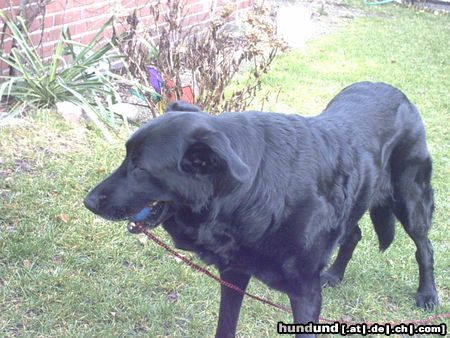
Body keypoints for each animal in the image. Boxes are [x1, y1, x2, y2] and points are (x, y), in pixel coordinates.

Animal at [85, 82, 440, 338]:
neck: (249, 194)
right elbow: (225, 327)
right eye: (126, 156)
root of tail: (398, 94)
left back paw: (428, 295)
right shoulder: (234, 273)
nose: (88, 202)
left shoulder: (305, 294)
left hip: (410, 199)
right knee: (353, 233)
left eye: (140, 168)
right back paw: (335, 274)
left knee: (424, 247)